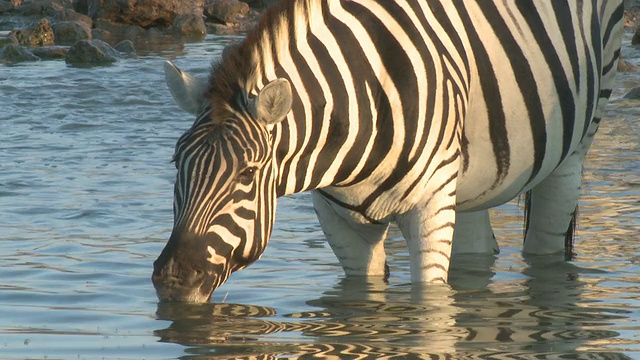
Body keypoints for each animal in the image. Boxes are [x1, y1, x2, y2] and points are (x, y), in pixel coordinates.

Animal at [150, 0, 620, 304]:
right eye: (176, 163)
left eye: (246, 173)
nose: (173, 280)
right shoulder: (339, 221)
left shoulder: (430, 207)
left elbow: (430, 305)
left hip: (581, 128)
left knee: (547, 239)